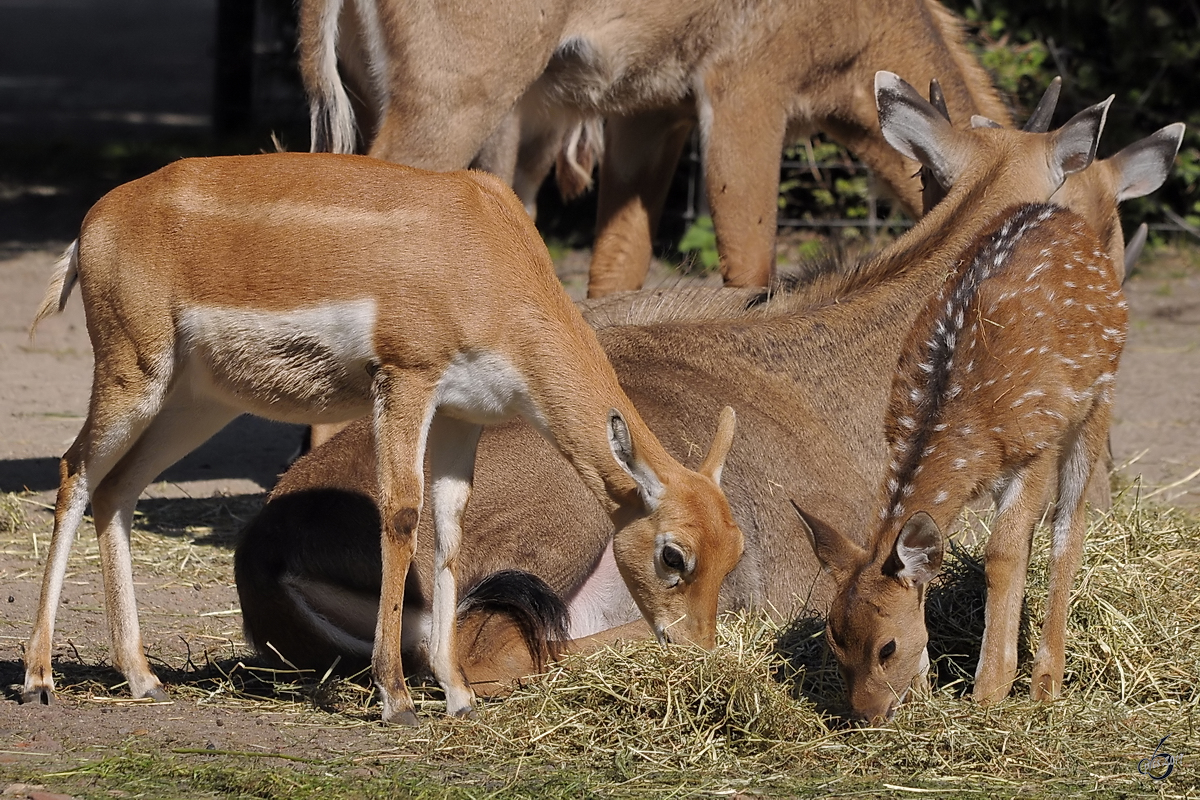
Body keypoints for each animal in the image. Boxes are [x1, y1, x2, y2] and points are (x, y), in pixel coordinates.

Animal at [23, 153, 744, 724]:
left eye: (732, 551)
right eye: (674, 554)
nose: (701, 653)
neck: (486, 244)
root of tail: (97, 220)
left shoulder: (460, 417)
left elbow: (449, 532)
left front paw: (458, 695)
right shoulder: (404, 382)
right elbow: (400, 514)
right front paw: (395, 698)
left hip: (194, 404)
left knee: (117, 491)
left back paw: (143, 679)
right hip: (134, 376)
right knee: (73, 472)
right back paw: (38, 678)